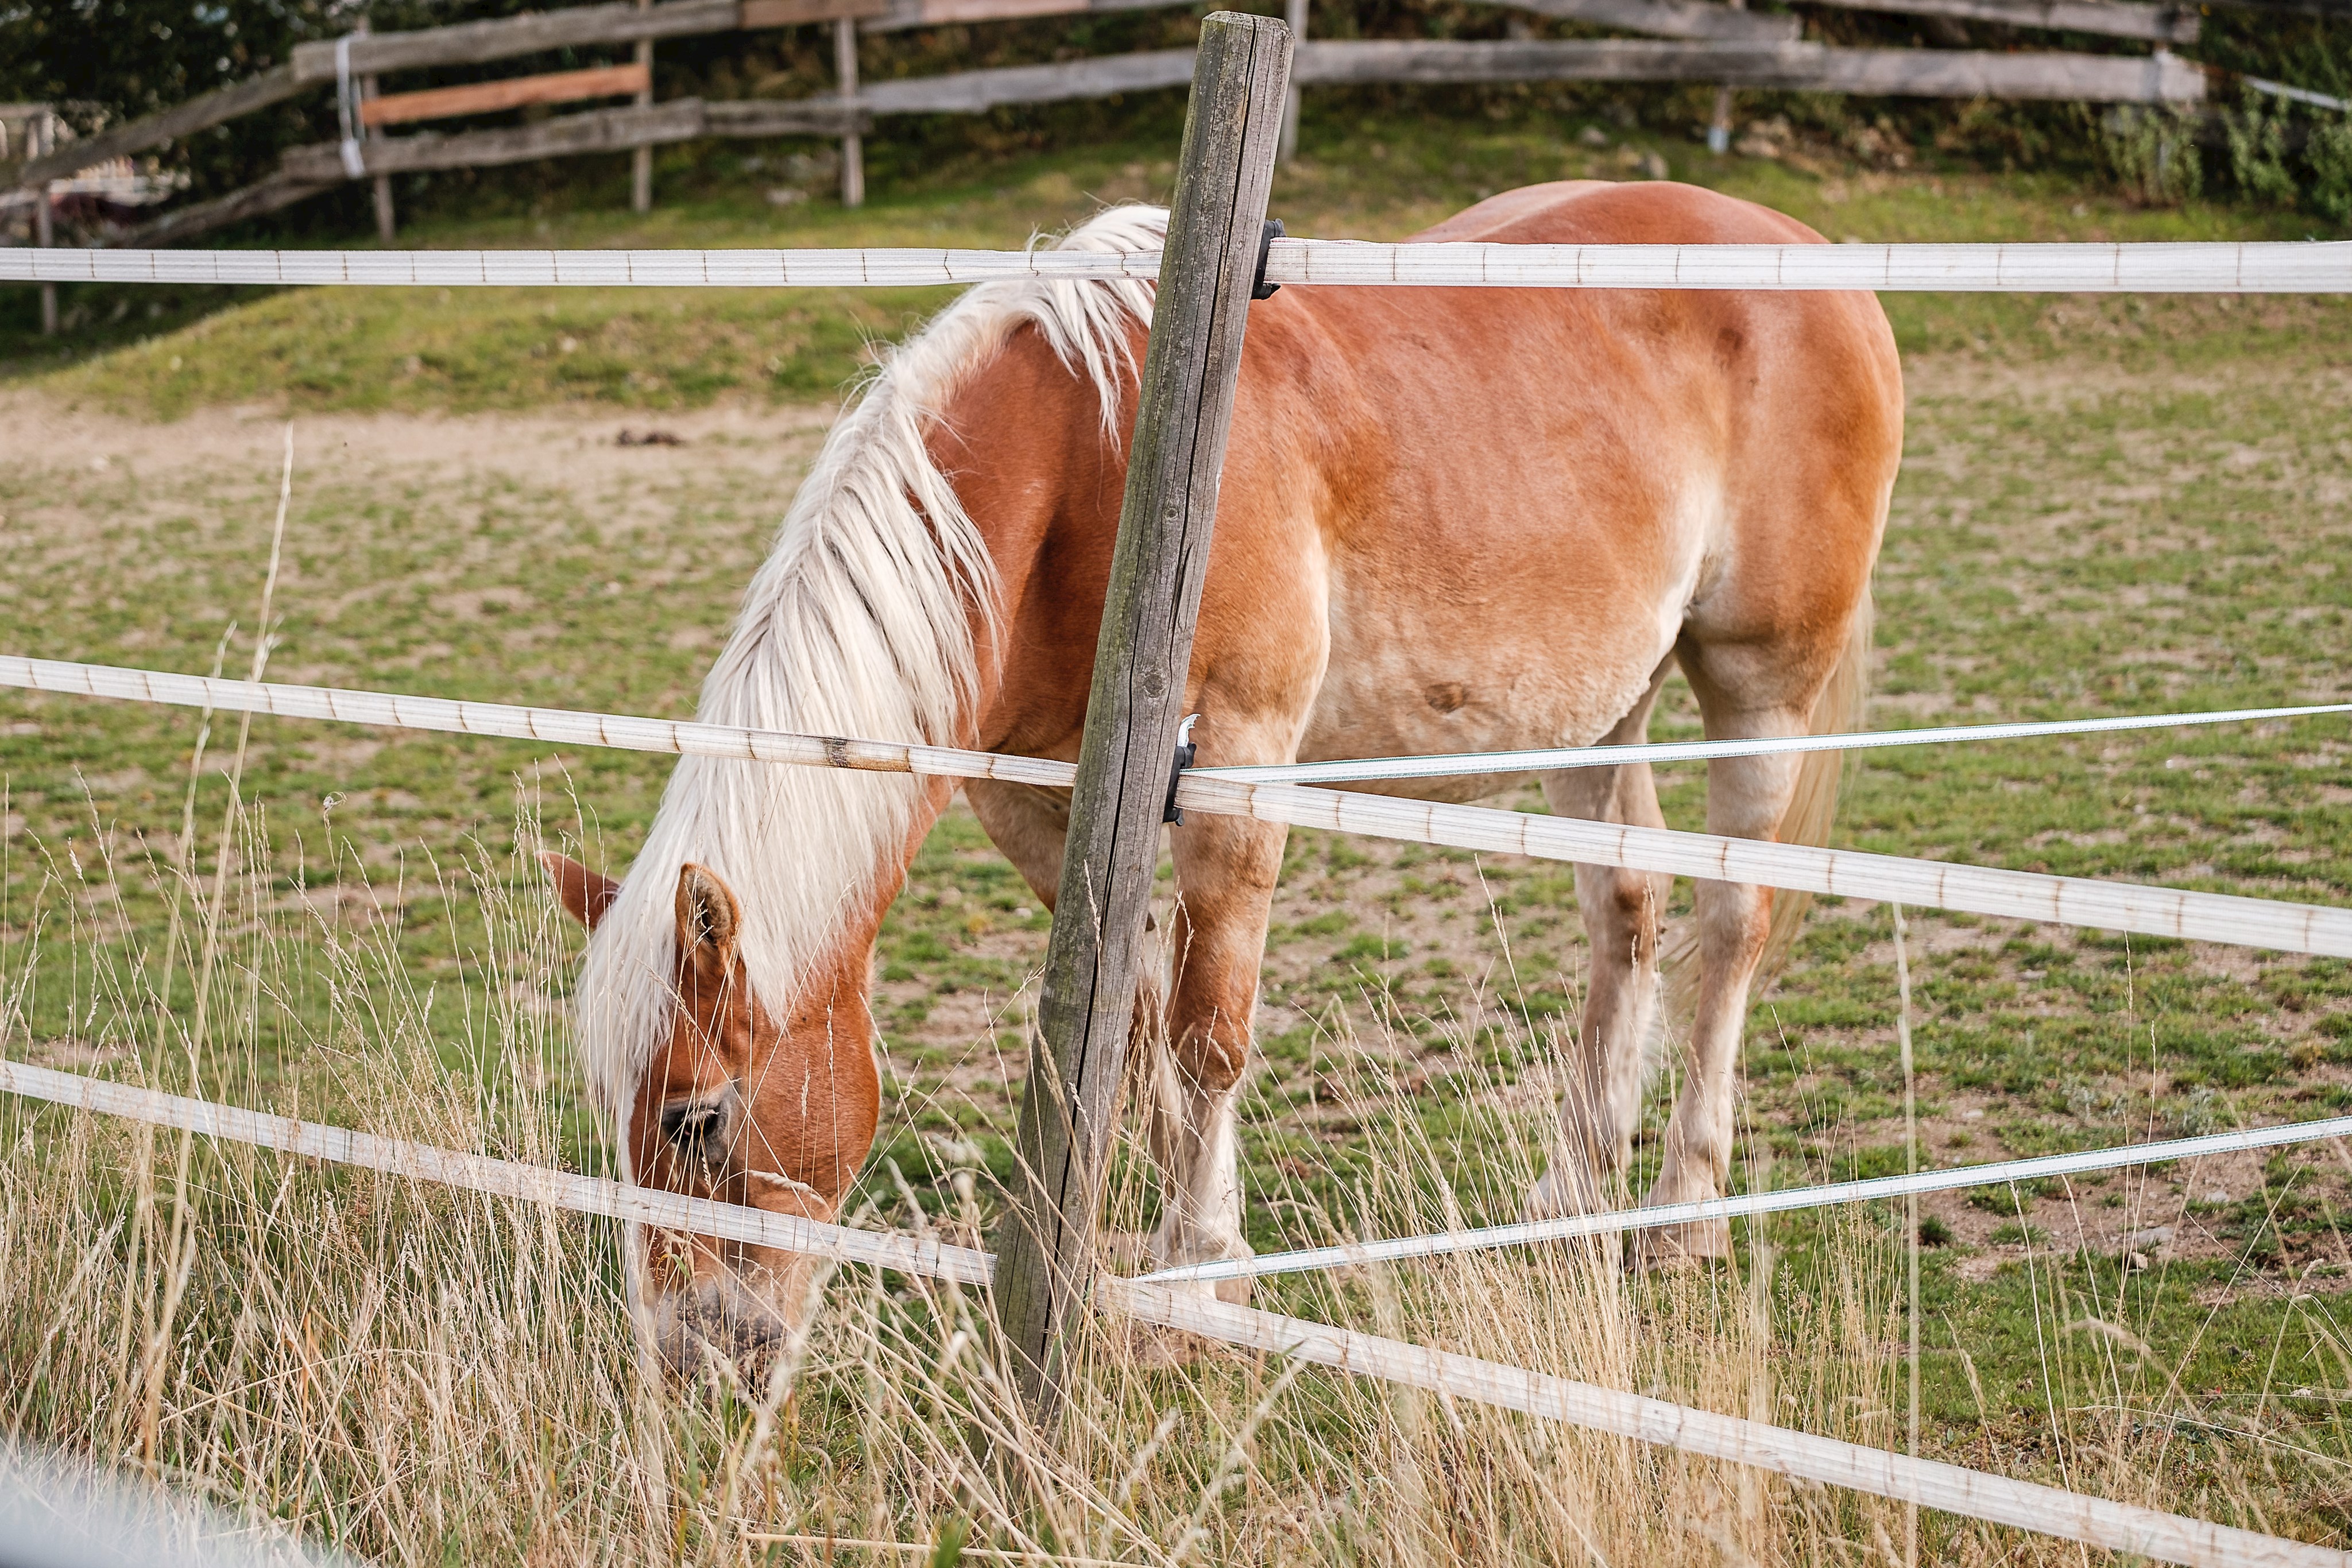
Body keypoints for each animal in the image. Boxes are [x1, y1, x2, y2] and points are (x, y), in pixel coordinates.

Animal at [550, 177, 1909, 1363]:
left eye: (694, 1117)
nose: (688, 1350)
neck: (1097, 459)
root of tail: (1809, 253)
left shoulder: (1238, 766)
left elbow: (1208, 1031)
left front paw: (1197, 1275)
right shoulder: (1037, 799)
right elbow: (1137, 1021)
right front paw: (1119, 1250)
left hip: (1757, 688)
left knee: (1731, 920)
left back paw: (1685, 1210)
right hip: (1598, 706)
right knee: (1625, 906)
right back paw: (1573, 1188)